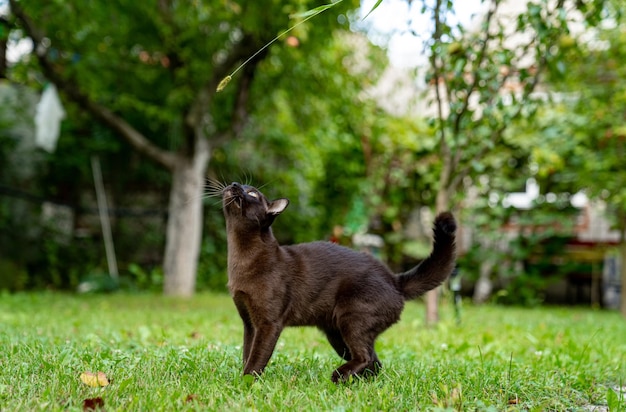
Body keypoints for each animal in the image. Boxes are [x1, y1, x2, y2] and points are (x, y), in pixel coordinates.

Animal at [213, 180, 454, 384]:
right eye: (239, 184)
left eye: (252, 193)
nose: (234, 184)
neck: (240, 256)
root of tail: (393, 279)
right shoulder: (249, 323)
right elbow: (247, 353)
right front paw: (242, 381)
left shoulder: (268, 323)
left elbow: (256, 358)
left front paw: (245, 384)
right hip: (337, 336)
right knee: (375, 362)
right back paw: (355, 382)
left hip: (352, 320)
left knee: (366, 357)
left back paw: (339, 376)